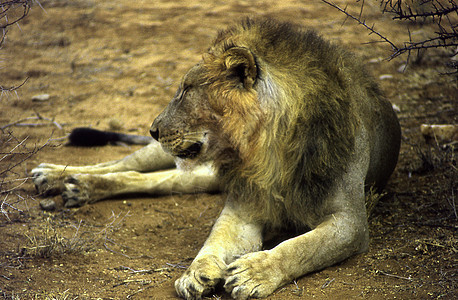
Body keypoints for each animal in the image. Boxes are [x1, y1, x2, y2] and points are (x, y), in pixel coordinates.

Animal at [31, 18, 400, 300]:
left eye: (186, 90)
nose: (153, 128)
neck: (266, 150)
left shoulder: (350, 223)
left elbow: (301, 247)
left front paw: (254, 273)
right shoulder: (243, 206)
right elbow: (213, 241)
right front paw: (195, 273)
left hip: (196, 176)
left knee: (147, 180)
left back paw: (76, 186)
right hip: (169, 158)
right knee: (124, 164)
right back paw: (56, 176)